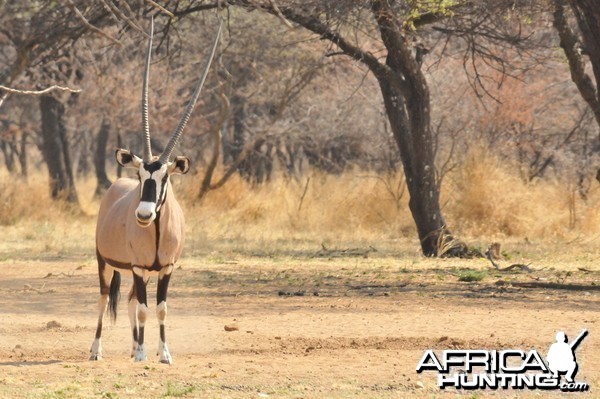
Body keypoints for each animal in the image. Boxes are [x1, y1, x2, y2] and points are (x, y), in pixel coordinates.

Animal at [92, 18, 224, 364]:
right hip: (105, 262)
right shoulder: (138, 267)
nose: (143, 214)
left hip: (140, 272)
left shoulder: (165, 269)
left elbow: (160, 309)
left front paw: (163, 352)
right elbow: (143, 309)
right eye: (140, 174)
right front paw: (142, 354)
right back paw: (97, 350)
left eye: (166, 177)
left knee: (127, 300)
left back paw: (132, 345)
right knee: (104, 299)